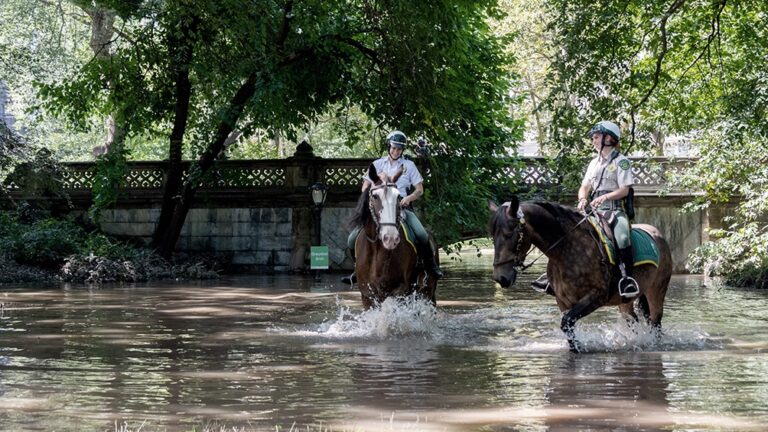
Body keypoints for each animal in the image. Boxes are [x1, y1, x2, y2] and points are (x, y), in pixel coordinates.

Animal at [348, 164, 438, 308]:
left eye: (398, 196)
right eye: (375, 196)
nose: (390, 238)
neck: (377, 250)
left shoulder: (399, 291)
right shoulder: (367, 295)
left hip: (427, 289)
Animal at [488, 196, 668, 352]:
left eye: (509, 234)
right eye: (492, 236)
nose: (500, 278)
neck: (566, 251)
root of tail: (658, 234)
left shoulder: (596, 297)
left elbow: (566, 322)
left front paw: (580, 348)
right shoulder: (562, 301)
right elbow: (568, 326)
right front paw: (575, 348)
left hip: (656, 292)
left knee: (655, 322)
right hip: (625, 301)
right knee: (632, 320)